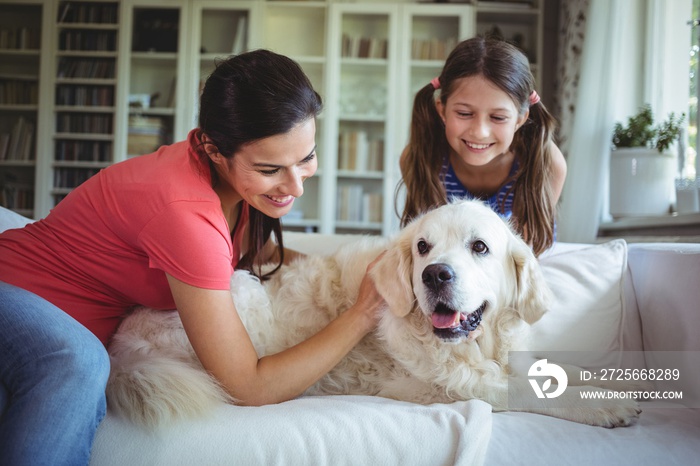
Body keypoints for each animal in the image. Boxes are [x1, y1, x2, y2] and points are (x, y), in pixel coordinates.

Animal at [108, 200, 640, 430]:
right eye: (423, 247)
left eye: (480, 247)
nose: (435, 275)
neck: (478, 346)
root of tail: (118, 350)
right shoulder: (444, 387)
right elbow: (532, 391)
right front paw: (603, 407)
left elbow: (565, 369)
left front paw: (618, 386)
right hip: (240, 296)